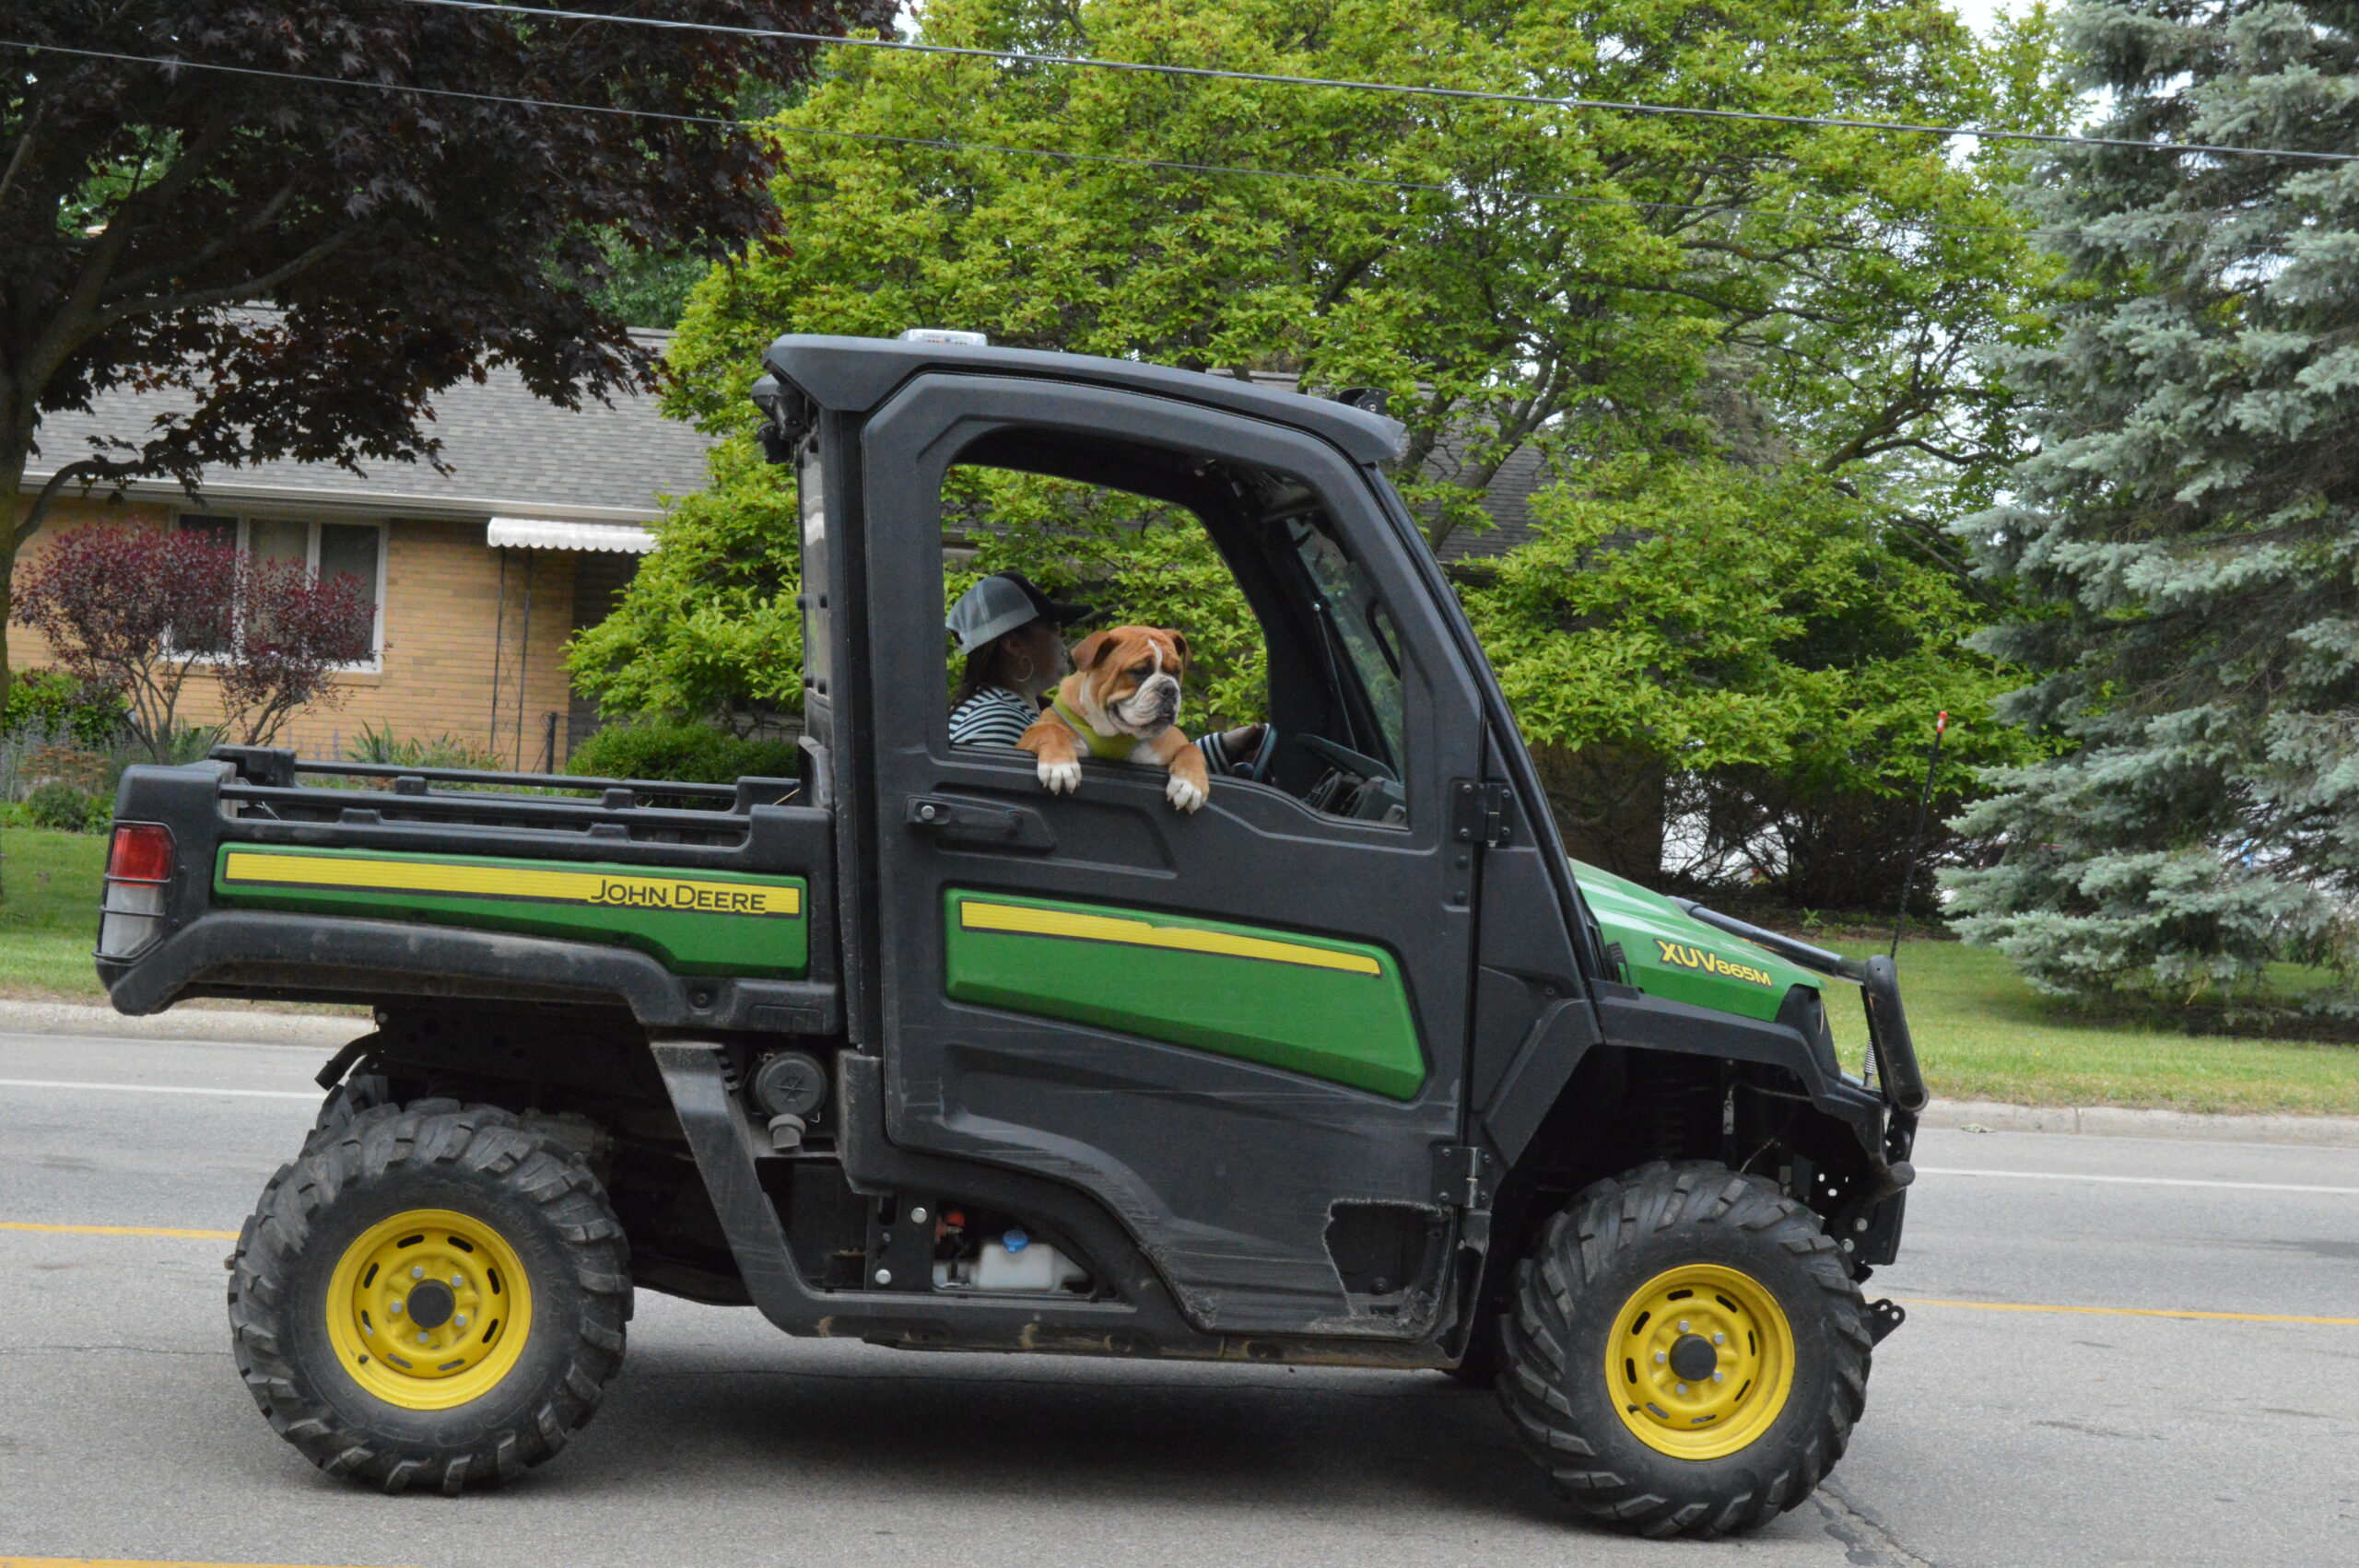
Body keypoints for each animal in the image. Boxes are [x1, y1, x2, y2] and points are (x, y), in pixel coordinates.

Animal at [1014, 622, 1207, 811]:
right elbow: (1050, 730)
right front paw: (1060, 766)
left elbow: (1190, 749)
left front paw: (1190, 784)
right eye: (1139, 671)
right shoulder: (1028, 738)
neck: (1115, 733)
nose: (1169, 689)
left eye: (1176, 672)